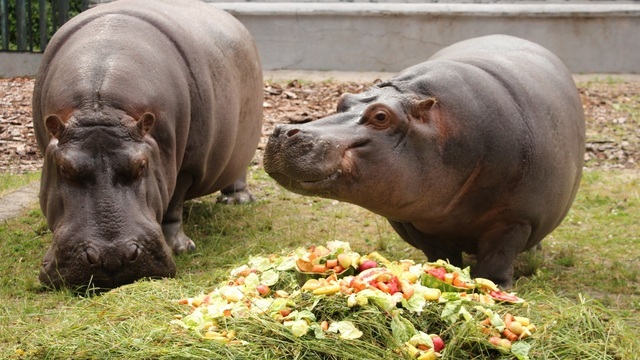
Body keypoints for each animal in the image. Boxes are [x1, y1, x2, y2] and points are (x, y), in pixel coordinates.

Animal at [31, 0, 262, 290]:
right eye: (64, 168)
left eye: (141, 165)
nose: (112, 257)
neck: (101, 107)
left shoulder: (186, 167)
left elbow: (173, 203)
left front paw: (180, 248)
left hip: (244, 144)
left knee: (238, 173)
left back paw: (236, 201)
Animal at [264, 33, 584, 286]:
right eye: (343, 100)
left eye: (381, 116)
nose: (282, 131)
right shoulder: (411, 219)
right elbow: (440, 254)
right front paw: (441, 273)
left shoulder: (515, 219)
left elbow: (498, 257)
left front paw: (494, 288)